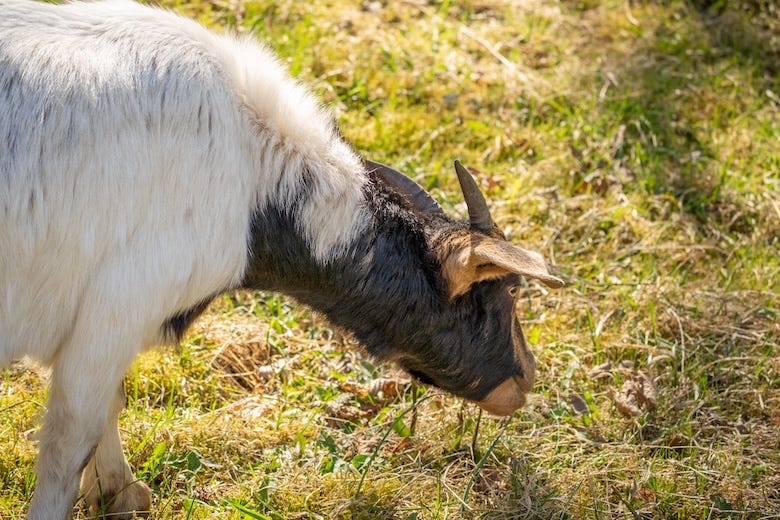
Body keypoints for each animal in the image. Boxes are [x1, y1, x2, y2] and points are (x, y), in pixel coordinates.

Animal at [0, 1, 563, 518]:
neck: (252, 182)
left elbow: (109, 404)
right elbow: (70, 440)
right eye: (508, 291)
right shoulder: (117, 305)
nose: (526, 379)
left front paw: (118, 491)